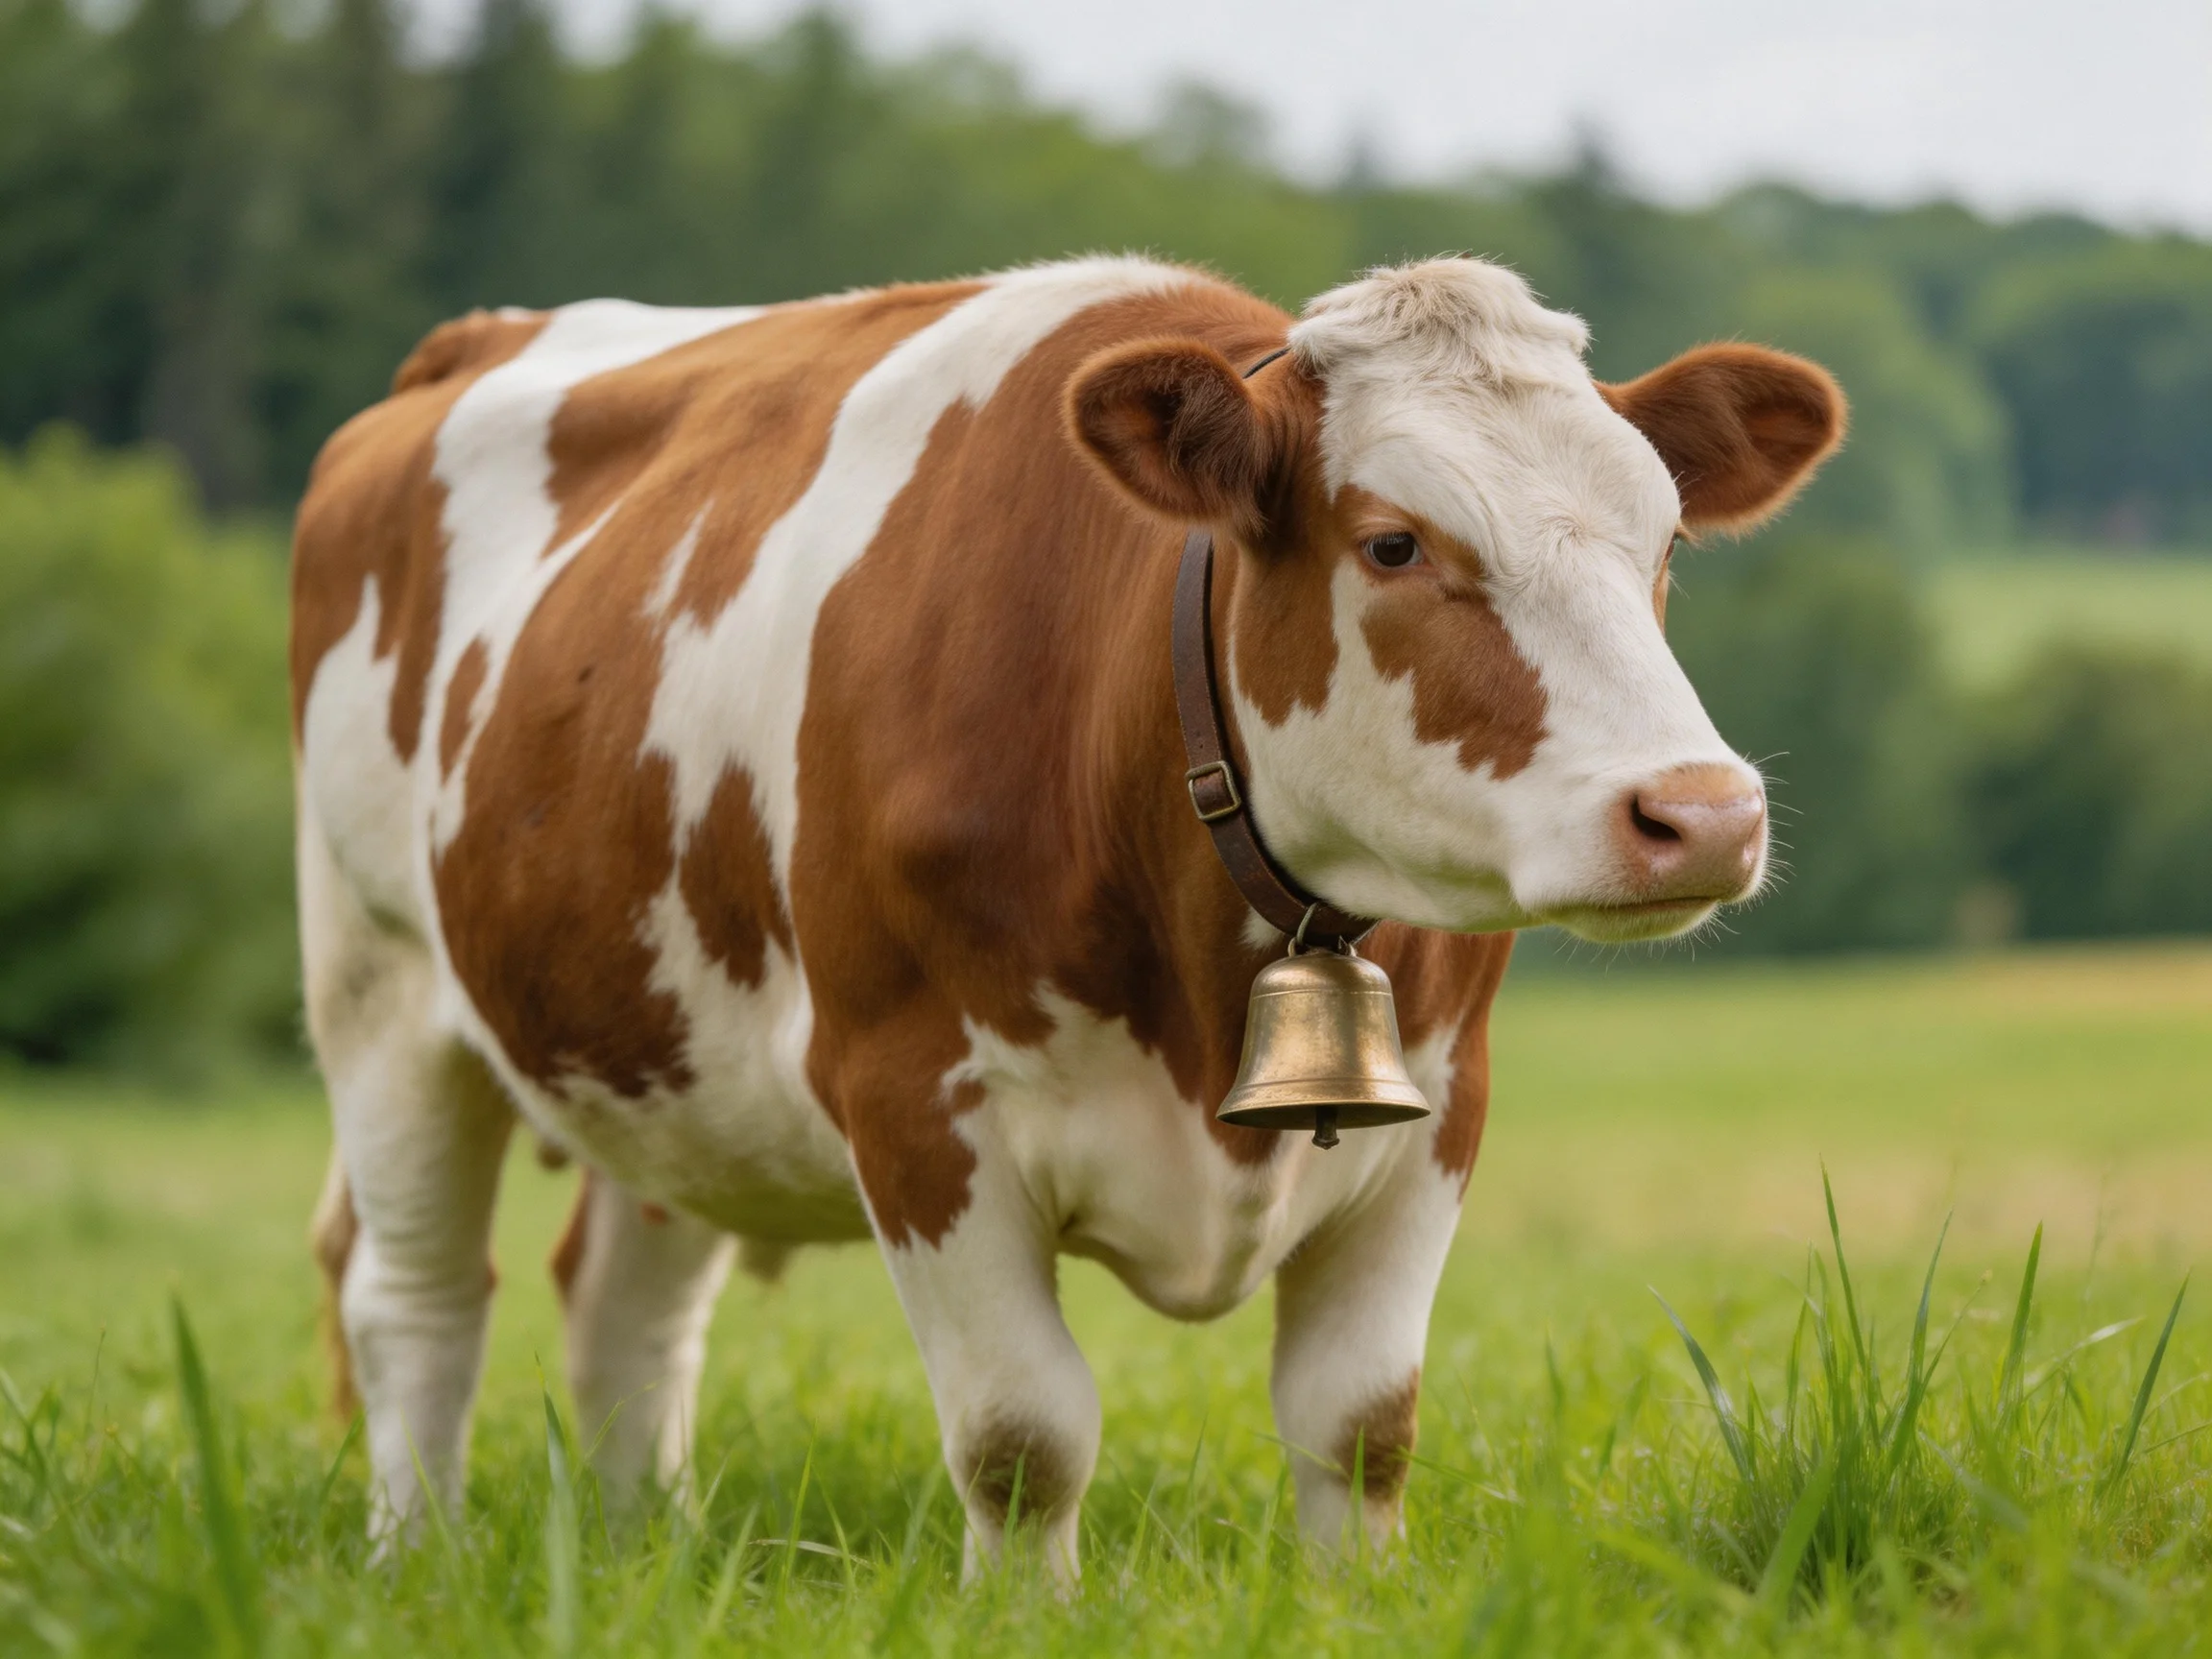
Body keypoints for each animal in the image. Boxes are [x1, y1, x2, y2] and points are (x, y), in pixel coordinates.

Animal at [292, 255, 1841, 1577]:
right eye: (1395, 545)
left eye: (1663, 542)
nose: (1701, 812)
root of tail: (480, 335)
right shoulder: (913, 1099)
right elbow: (1021, 1437)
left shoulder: (1439, 1105)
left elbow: (1359, 1423)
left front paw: (1353, 1603)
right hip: (379, 993)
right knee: (415, 1301)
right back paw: (413, 1561)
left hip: (661, 1044)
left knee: (628, 1306)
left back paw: (643, 1554)